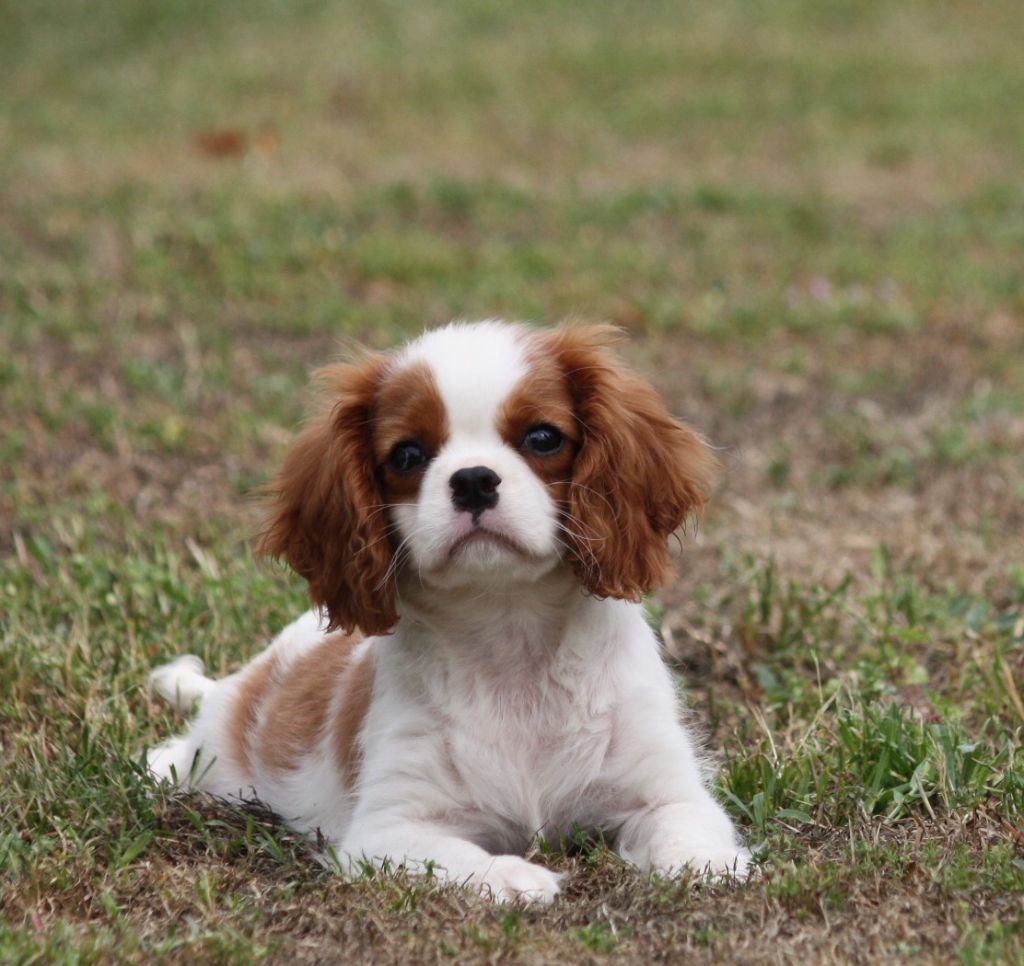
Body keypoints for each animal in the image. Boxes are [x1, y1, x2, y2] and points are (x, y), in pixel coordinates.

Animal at [148, 321, 749, 901]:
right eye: (408, 455)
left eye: (543, 438)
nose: (474, 479)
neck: (507, 627)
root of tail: (245, 680)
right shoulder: (388, 831)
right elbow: (459, 857)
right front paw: (517, 877)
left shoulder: (668, 793)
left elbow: (687, 834)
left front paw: (708, 866)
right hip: (214, 763)